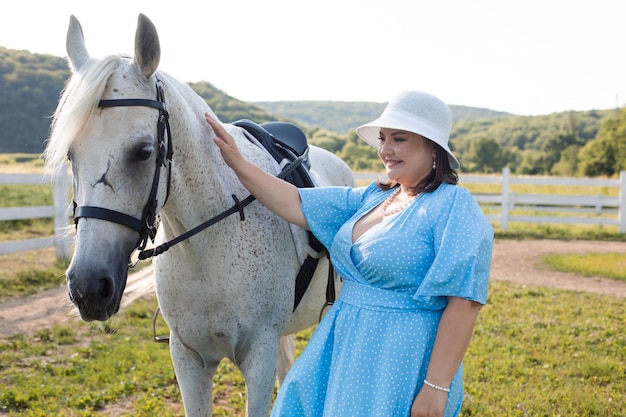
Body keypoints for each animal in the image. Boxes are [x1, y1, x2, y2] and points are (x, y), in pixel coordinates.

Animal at [45, 13, 352, 416]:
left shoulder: (258, 359)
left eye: (144, 152)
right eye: (71, 155)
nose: (89, 288)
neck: (207, 247)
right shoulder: (188, 359)